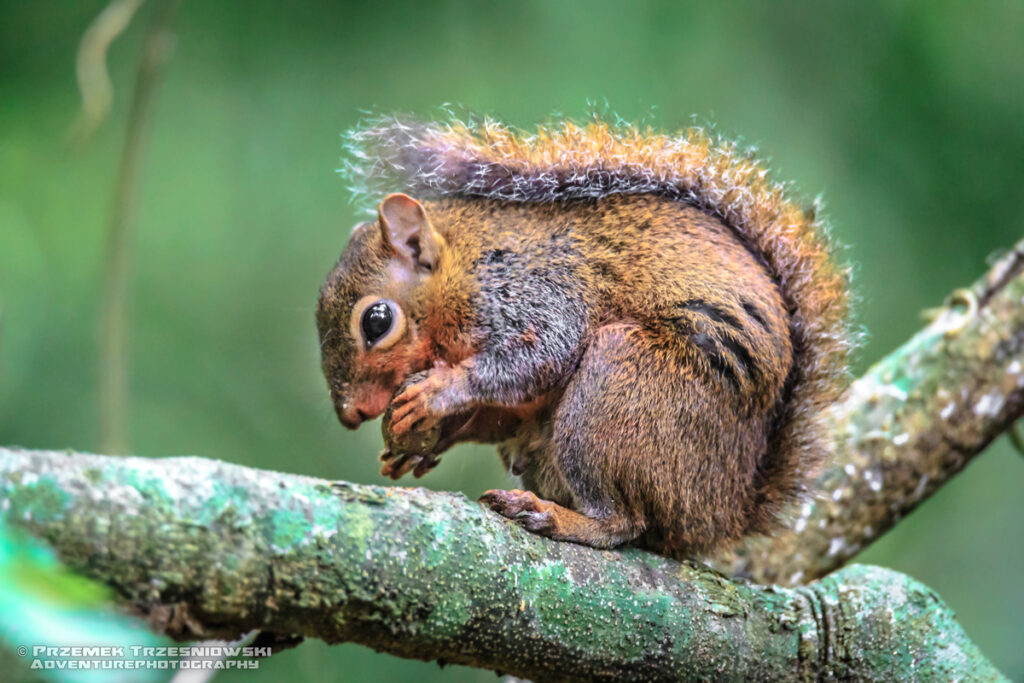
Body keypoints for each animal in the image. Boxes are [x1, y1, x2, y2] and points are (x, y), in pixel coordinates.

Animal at [315, 114, 851, 557]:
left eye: (376, 321)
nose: (350, 414)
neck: (463, 266)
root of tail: (726, 511)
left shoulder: (537, 290)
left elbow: (542, 356)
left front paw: (439, 391)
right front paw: (419, 445)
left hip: (623, 387)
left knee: (623, 521)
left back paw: (555, 517)